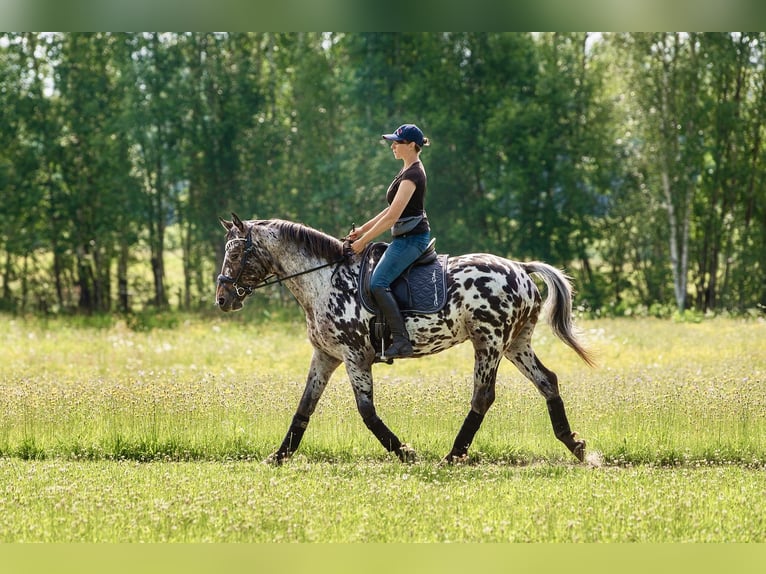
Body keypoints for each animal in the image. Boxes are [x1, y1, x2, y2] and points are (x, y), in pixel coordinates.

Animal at [216, 213, 595, 464]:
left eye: (235, 254)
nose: (222, 299)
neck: (325, 281)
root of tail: (520, 268)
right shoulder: (326, 356)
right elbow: (304, 407)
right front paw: (279, 455)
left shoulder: (355, 357)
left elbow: (367, 412)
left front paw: (405, 452)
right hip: (516, 344)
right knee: (547, 381)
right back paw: (575, 445)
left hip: (488, 343)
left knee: (483, 397)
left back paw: (453, 455)